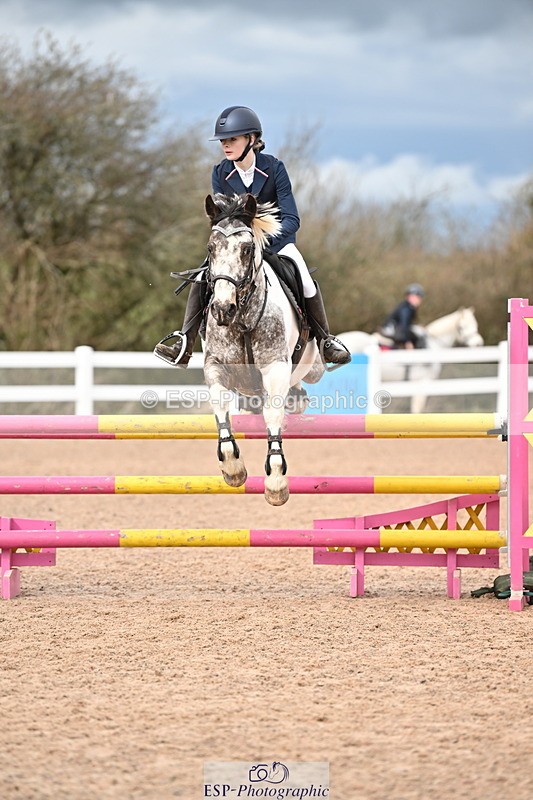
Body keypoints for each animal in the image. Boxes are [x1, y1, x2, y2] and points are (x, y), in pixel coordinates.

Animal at [202, 192, 324, 506]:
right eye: (211, 248)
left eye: (247, 249)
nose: (222, 309)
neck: (243, 316)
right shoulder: (215, 365)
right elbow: (221, 406)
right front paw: (232, 467)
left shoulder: (275, 368)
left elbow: (273, 414)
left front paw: (276, 481)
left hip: (312, 366)